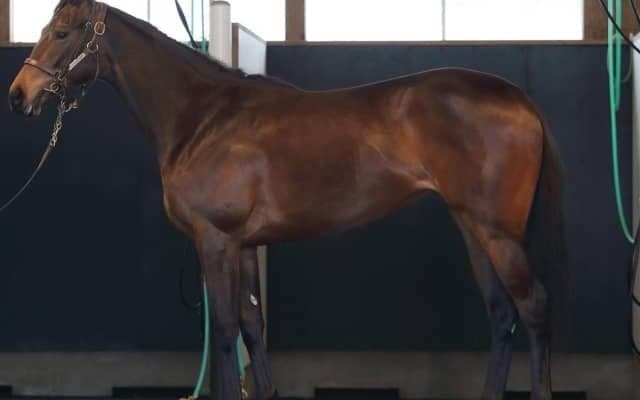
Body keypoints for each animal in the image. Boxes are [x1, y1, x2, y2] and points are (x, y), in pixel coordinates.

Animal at [7, 1, 570, 400]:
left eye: (61, 33)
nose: (18, 94)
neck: (203, 119)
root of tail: (519, 98)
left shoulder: (215, 241)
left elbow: (225, 329)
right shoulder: (244, 245)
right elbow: (253, 329)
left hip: (498, 232)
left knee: (533, 307)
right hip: (472, 225)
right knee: (502, 313)